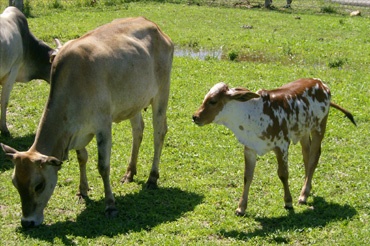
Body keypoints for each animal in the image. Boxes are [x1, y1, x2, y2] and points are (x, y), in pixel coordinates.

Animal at [1, 16, 173, 229]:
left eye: (39, 185)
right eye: (15, 182)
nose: (27, 222)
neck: (74, 82)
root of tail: (156, 27)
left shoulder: (103, 126)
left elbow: (103, 166)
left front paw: (110, 205)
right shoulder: (76, 131)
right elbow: (82, 157)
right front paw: (82, 190)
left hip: (161, 96)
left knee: (159, 133)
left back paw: (152, 178)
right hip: (134, 103)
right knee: (138, 131)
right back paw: (129, 172)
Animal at [192, 78, 356, 215]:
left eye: (213, 101)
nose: (195, 117)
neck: (252, 115)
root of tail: (321, 83)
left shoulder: (282, 146)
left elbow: (283, 174)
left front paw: (288, 201)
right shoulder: (249, 148)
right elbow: (247, 176)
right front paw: (241, 207)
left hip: (319, 127)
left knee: (314, 158)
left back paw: (303, 195)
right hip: (303, 131)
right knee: (307, 156)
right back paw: (306, 189)